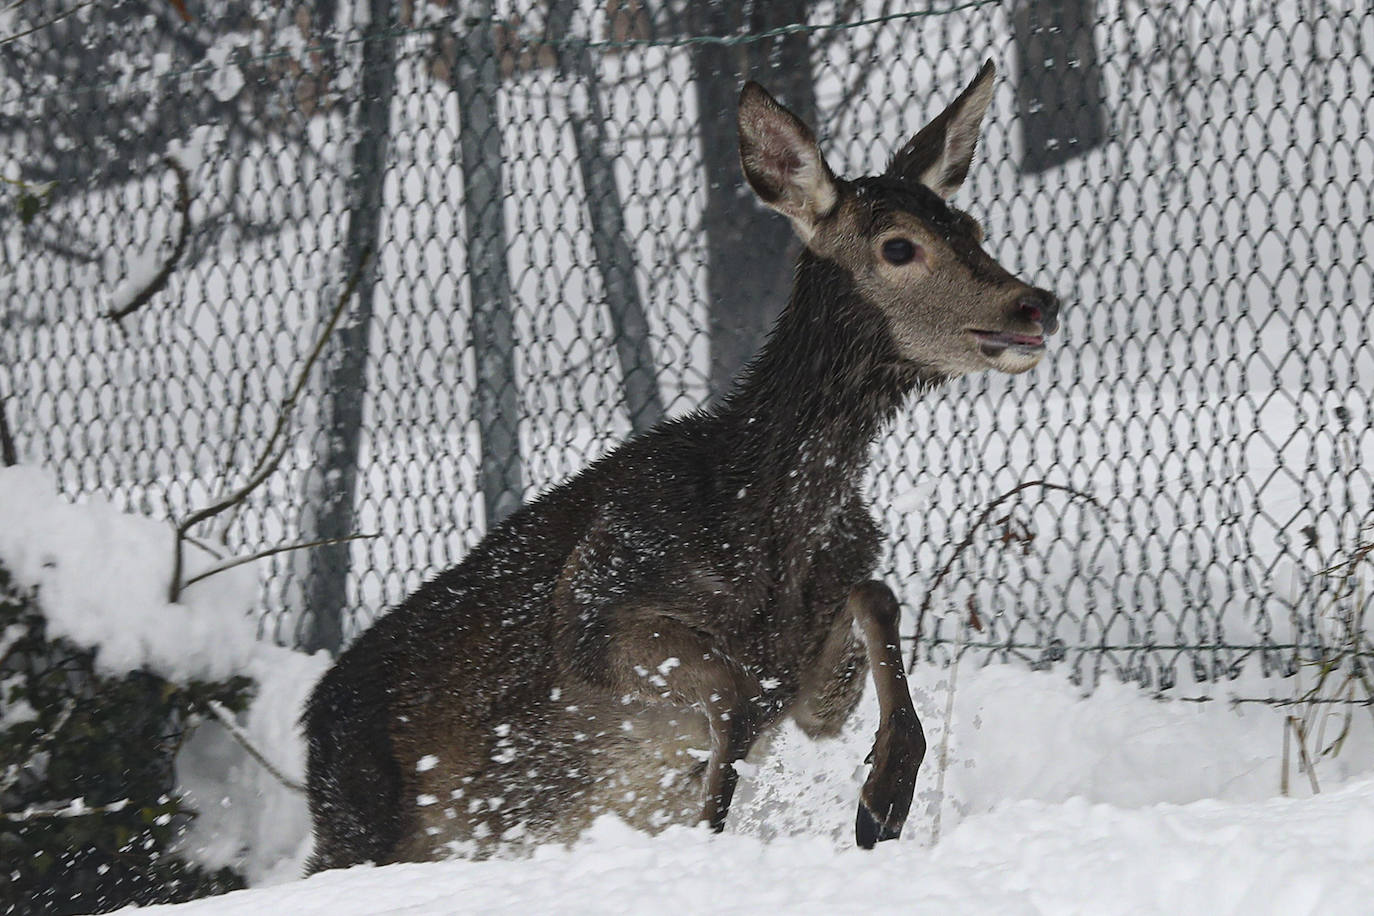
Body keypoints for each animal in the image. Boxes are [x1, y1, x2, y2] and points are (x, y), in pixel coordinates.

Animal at [306, 60, 1060, 873]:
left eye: (973, 228)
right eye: (898, 246)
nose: (1034, 304)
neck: (757, 522)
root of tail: (311, 726)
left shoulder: (811, 687)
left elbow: (875, 596)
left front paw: (885, 794)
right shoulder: (593, 614)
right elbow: (726, 687)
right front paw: (712, 824)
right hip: (361, 824)